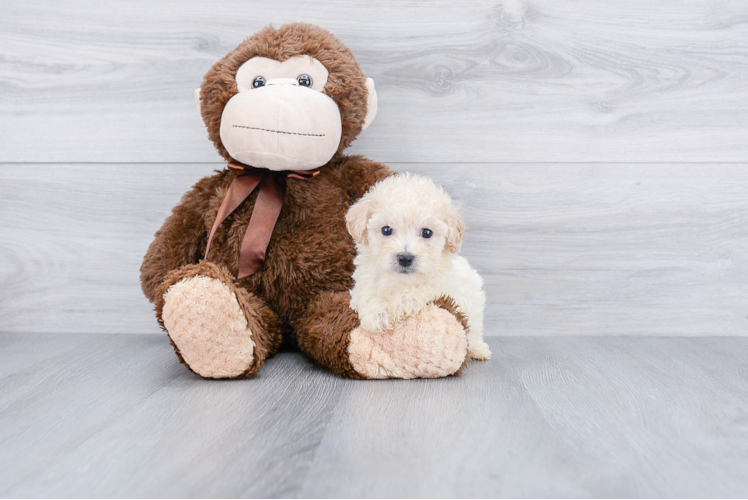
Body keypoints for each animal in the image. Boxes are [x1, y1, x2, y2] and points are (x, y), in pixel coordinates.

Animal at [344, 172, 490, 360]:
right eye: (386, 230)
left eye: (427, 232)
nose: (405, 258)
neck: (400, 280)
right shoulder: (362, 285)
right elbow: (367, 297)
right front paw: (378, 315)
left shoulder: (446, 287)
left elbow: (423, 287)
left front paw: (400, 304)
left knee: (474, 330)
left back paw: (478, 349)